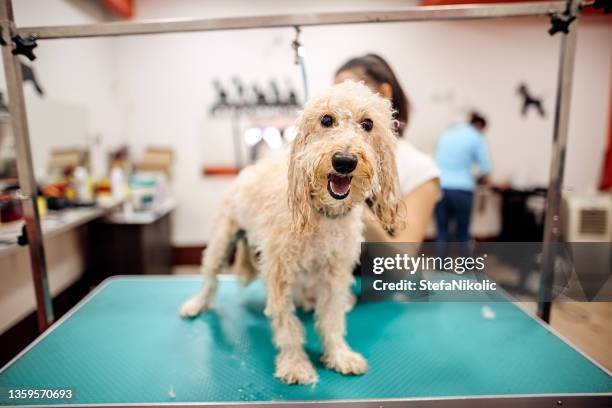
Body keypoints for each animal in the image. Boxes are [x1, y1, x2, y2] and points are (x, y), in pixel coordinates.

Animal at [179, 80, 404, 386]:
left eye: (368, 124)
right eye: (326, 120)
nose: (344, 160)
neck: (323, 213)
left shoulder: (335, 272)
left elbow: (332, 319)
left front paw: (338, 354)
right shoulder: (279, 272)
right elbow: (287, 323)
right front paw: (295, 363)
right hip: (221, 242)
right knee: (210, 279)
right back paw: (197, 303)